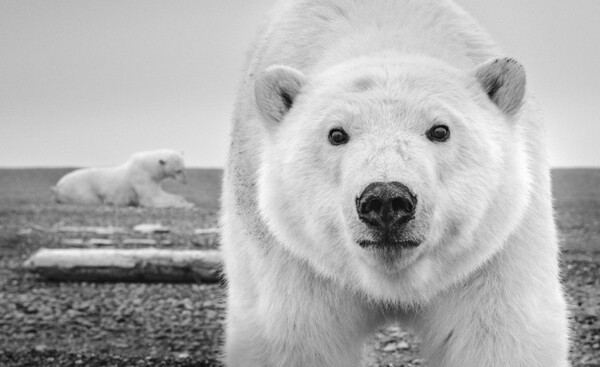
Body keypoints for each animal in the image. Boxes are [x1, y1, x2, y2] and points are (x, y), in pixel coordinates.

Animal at [52, 149, 192, 207]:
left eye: (185, 168)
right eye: (178, 170)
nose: (186, 181)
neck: (148, 166)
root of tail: (58, 186)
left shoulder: (153, 179)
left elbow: (160, 194)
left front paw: (186, 201)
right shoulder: (141, 177)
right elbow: (151, 198)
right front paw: (185, 204)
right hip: (79, 190)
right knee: (91, 199)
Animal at [221, 0, 572, 367]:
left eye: (440, 130)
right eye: (336, 134)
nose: (386, 199)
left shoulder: (495, 254)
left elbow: (501, 336)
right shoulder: (293, 260)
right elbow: (295, 339)